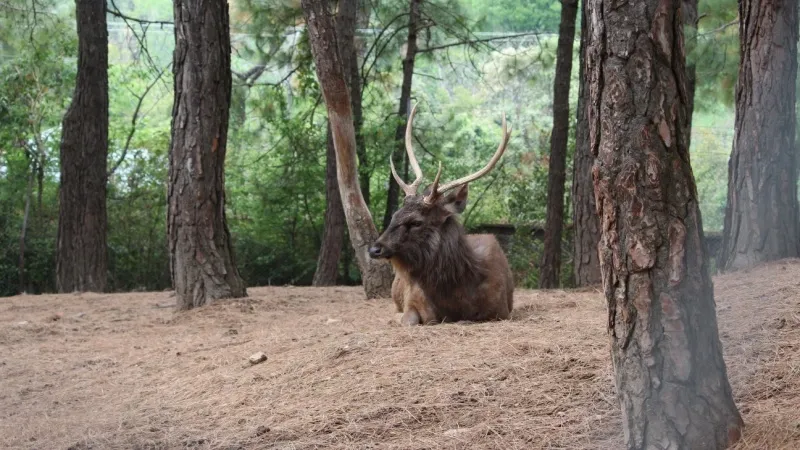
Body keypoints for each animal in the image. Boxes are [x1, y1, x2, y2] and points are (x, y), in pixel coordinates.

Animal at [368, 103, 512, 326]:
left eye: (416, 222)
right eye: (395, 214)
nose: (375, 249)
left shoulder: (501, 310)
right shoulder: (413, 300)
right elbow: (407, 319)